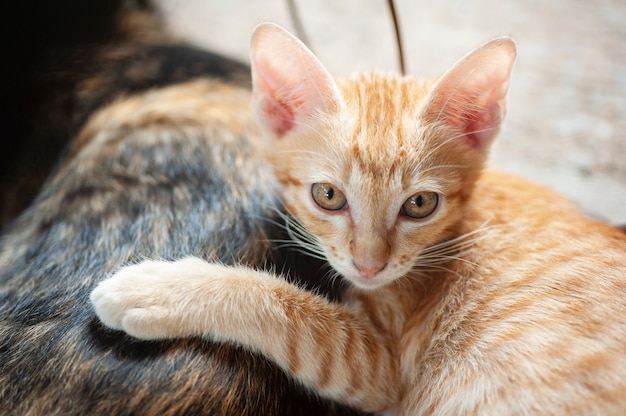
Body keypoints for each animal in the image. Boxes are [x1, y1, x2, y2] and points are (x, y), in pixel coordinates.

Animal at [91, 23, 624, 416]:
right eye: (328, 196)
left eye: (420, 204)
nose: (370, 266)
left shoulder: (379, 366)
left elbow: (284, 307)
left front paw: (155, 289)